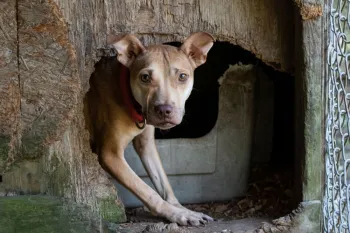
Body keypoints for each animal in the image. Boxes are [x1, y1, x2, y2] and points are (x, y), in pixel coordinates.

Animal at [85, 31, 215, 225]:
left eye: (182, 77)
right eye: (145, 77)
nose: (164, 110)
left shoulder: (146, 146)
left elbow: (163, 183)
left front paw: (181, 209)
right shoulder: (110, 155)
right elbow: (148, 192)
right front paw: (177, 214)